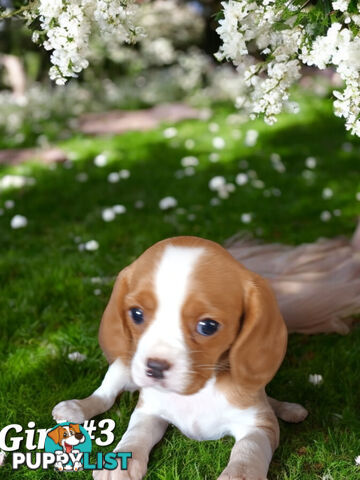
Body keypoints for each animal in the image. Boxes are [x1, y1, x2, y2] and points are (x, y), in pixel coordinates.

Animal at [52, 237, 306, 480]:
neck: (197, 392)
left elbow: (248, 450)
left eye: (208, 326)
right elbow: (135, 434)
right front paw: (121, 460)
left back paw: (288, 409)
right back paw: (77, 407)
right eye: (136, 314)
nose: (155, 367)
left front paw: (239, 475)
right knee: (104, 396)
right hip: (122, 367)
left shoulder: (258, 426)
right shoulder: (148, 411)